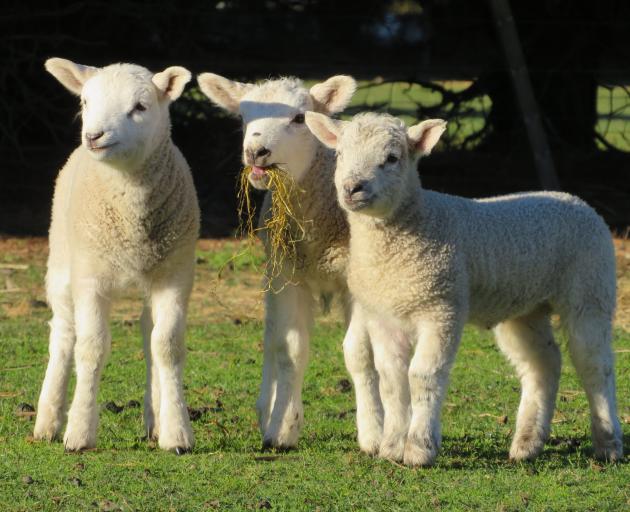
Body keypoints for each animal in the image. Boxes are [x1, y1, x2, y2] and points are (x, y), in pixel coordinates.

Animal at [32, 58, 200, 454]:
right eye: (85, 101)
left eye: (140, 107)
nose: (94, 136)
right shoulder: (90, 278)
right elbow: (91, 348)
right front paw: (79, 432)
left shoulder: (175, 275)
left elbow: (167, 346)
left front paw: (177, 432)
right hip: (62, 264)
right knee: (64, 333)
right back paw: (47, 421)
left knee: (148, 330)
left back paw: (156, 420)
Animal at [198, 73, 388, 452]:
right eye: (243, 117)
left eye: (300, 118)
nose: (256, 152)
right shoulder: (288, 274)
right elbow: (290, 351)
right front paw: (282, 428)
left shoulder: (356, 279)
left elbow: (360, 354)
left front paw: (373, 432)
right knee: (273, 336)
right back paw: (266, 407)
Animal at [308, 110, 628, 466]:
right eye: (339, 154)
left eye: (392, 158)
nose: (353, 188)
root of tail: (576, 199)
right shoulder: (383, 315)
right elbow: (392, 379)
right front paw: (392, 446)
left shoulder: (442, 307)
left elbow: (422, 375)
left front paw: (419, 448)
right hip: (525, 308)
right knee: (542, 363)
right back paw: (527, 444)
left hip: (591, 287)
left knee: (595, 364)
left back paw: (608, 443)